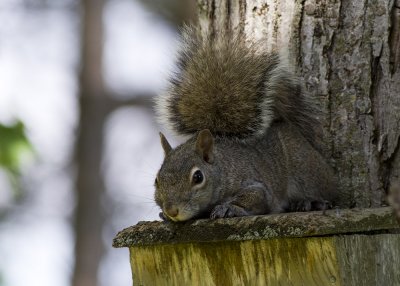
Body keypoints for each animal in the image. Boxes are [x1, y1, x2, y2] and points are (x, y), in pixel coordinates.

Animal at [153, 26, 338, 222]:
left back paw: (310, 202)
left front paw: (228, 208)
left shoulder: (256, 186)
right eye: (156, 179)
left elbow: (255, 199)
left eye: (198, 177)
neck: (222, 169)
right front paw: (163, 215)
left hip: (306, 170)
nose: (172, 210)